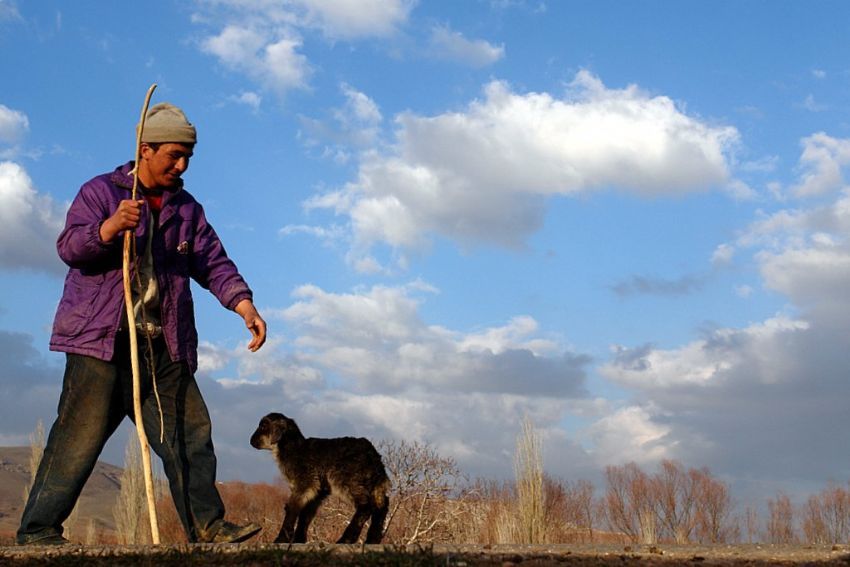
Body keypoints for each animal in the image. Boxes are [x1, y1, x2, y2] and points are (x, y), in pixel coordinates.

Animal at [247, 412, 390, 544]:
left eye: (263, 426)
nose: (251, 441)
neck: (293, 449)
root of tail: (373, 455)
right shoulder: (318, 491)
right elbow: (306, 514)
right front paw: (299, 539)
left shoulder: (305, 483)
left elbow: (292, 508)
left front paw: (282, 538)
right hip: (374, 484)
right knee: (382, 507)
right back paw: (372, 539)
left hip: (348, 480)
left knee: (365, 507)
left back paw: (346, 539)